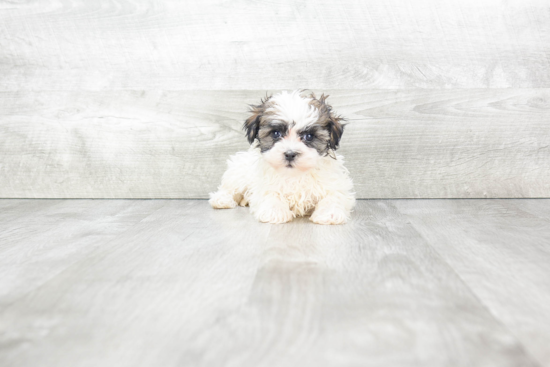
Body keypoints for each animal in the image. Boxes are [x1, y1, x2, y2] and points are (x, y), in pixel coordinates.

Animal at [209, 90, 356, 226]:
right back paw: (221, 200)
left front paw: (330, 214)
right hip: (239, 172)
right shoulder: (263, 183)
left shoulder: (335, 183)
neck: (295, 175)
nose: (290, 154)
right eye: (276, 133)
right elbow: (271, 193)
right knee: (229, 188)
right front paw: (275, 212)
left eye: (309, 136)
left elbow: (335, 195)